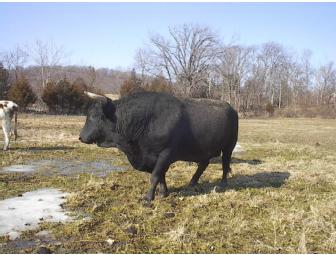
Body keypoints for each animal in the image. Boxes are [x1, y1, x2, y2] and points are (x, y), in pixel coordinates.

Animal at [79, 91, 239, 201]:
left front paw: (148, 198)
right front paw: (163, 193)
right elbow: (161, 175)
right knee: (203, 165)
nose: (80, 137)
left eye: (93, 116)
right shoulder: (154, 157)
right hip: (203, 150)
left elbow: (155, 175)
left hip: (229, 146)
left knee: (225, 163)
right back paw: (192, 182)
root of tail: (230, 107)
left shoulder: (165, 154)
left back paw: (223, 183)